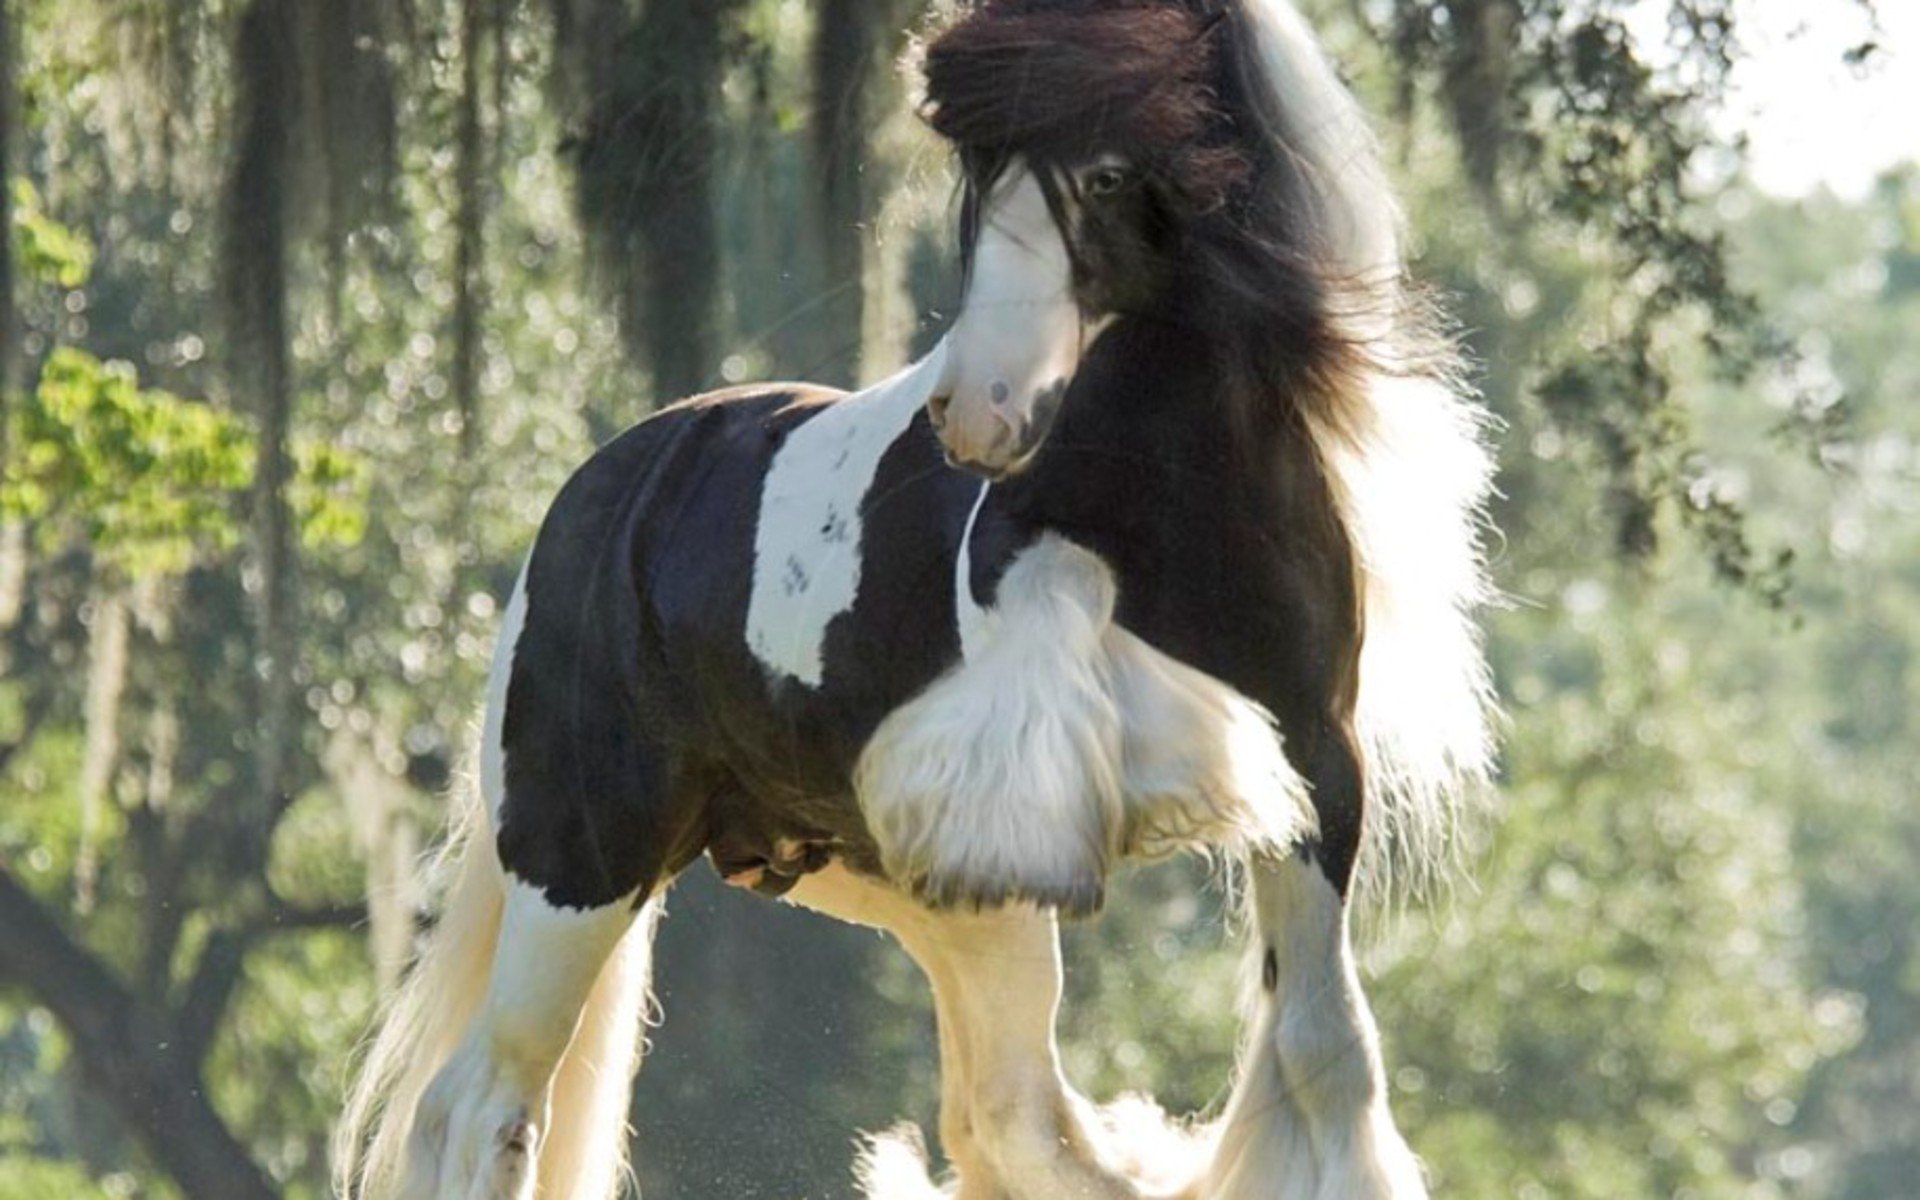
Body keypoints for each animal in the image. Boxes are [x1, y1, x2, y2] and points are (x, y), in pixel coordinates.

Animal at [337, 2, 1489, 1198]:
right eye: (980, 170)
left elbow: (1324, 1053)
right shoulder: (1023, 747)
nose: (979, 414)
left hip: (906, 884)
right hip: (584, 857)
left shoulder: (1318, 768)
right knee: (484, 1102)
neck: (1185, 493)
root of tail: (596, 496)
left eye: (1110, 172)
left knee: (1002, 1111)